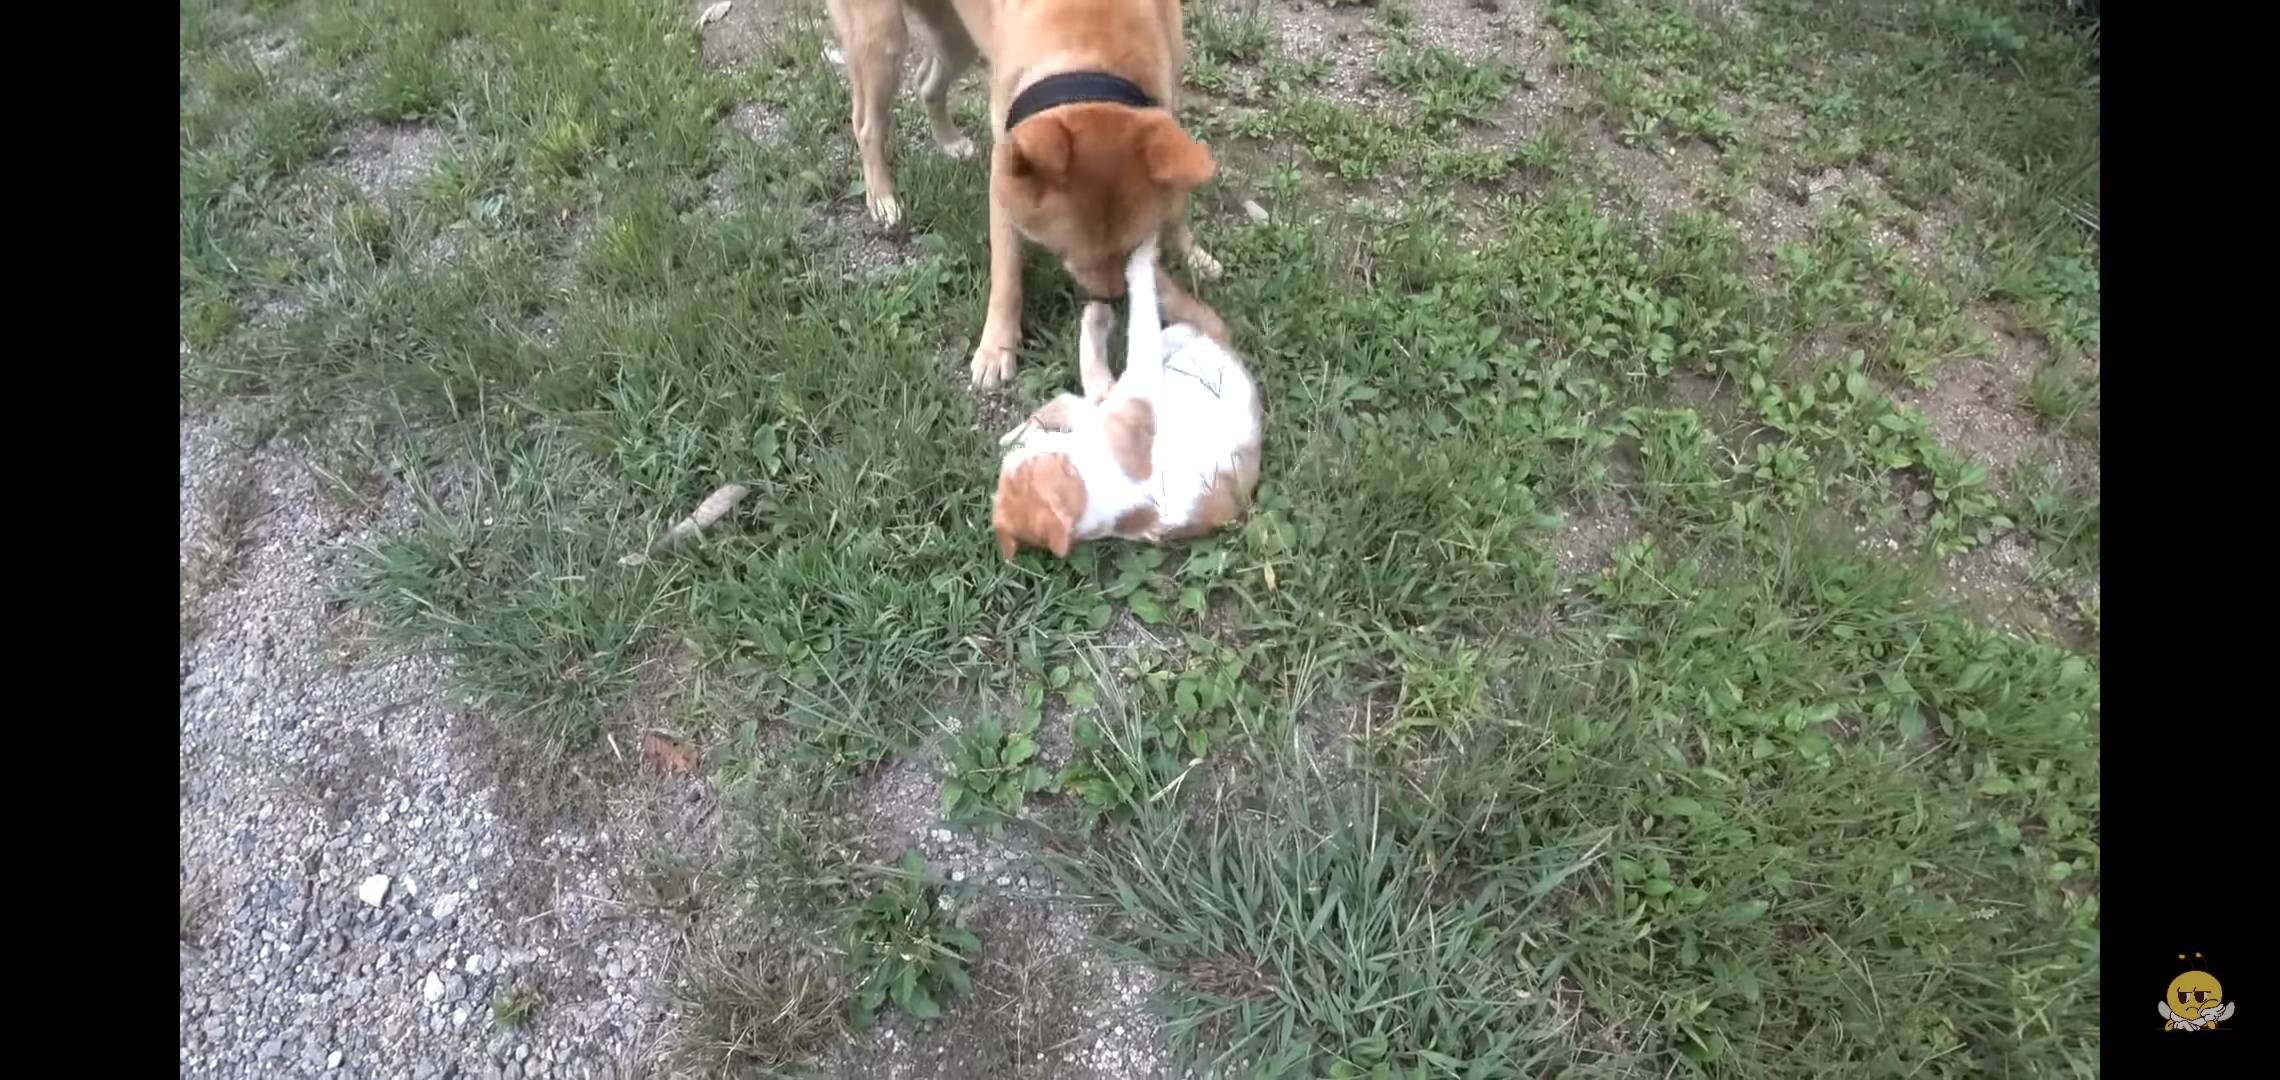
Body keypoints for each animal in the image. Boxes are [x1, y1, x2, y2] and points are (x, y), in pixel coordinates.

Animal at [825, 0, 1231, 387]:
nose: (1116, 297)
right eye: (1071, 256)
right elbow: (1007, 275)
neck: (1089, 51)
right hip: (883, 40)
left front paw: (1193, 255)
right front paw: (997, 349)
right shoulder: (1006, 175)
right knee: (867, 123)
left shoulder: (1168, 109)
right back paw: (882, 196)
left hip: (956, 41)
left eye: (1135, 246)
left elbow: (1177, 203)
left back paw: (950, 141)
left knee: (926, 83)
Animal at [984, 233, 1258, 560]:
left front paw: (1017, 435)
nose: (1008, 458)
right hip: (1162, 356)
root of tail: (1226, 344)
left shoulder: (1123, 396)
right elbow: (1138, 309)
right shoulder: (1133, 388)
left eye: (1017, 471)